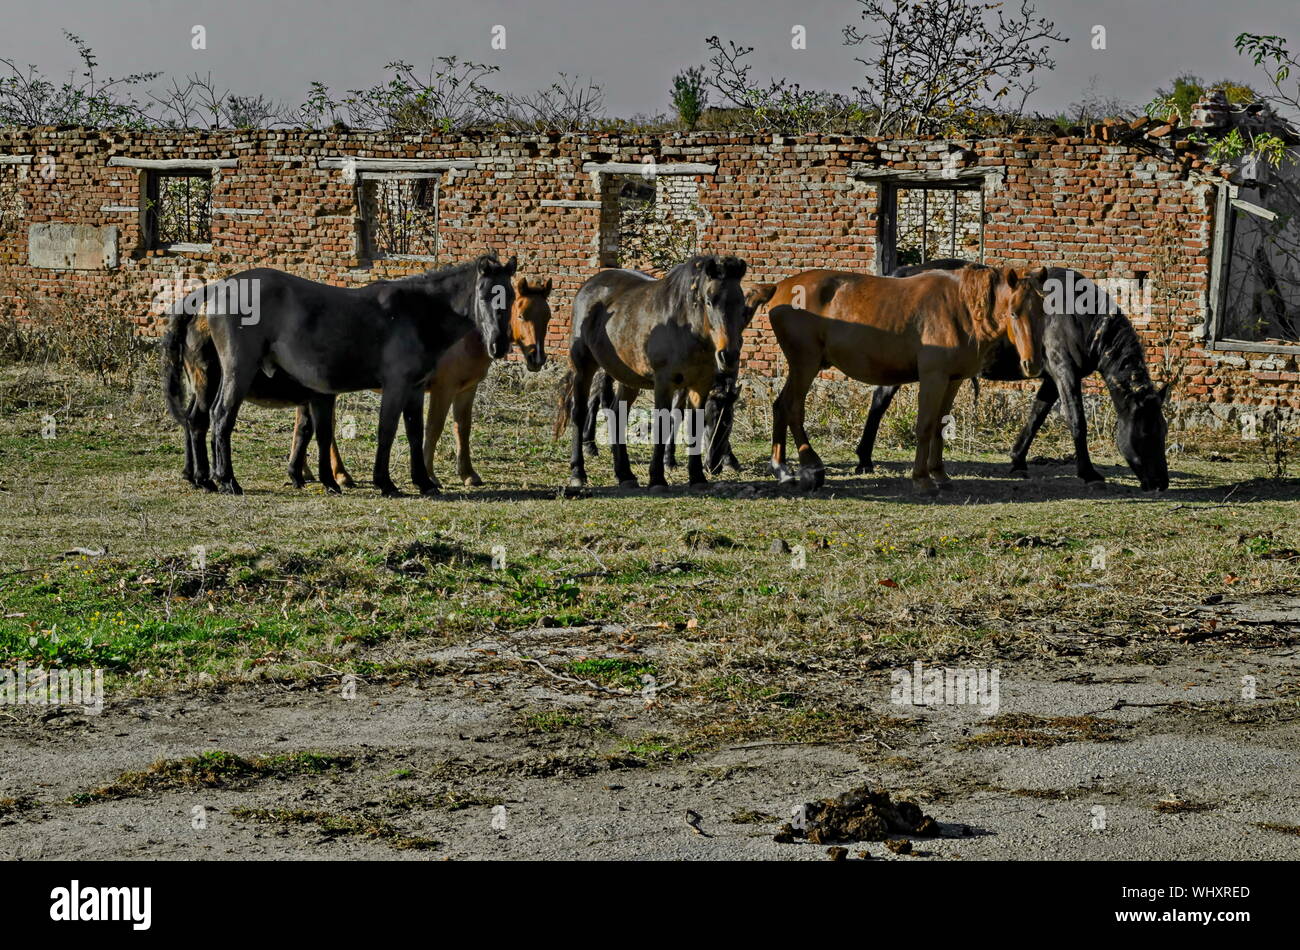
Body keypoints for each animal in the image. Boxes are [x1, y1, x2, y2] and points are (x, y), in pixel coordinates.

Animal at [165, 254, 520, 499]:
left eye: (512, 296)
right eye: (486, 295)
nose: (499, 344)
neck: (416, 312)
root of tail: (214, 290)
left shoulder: (416, 389)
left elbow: (415, 433)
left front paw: (422, 481)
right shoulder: (396, 387)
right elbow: (386, 432)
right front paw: (385, 482)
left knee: (198, 420)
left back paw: (203, 478)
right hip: (235, 374)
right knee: (220, 417)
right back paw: (226, 479)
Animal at [289, 271, 553, 486]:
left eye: (548, 317)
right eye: (521, 315)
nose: (537, 358)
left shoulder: (466, 390)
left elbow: (462, 428)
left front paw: (468, 474)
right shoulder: (443, 389)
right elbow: (433, 428)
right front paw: (429, 475)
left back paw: (307, 472)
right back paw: (340, 475)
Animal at [561, 254, 754, 491]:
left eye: (742, 306)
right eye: (709, 301)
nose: (728, 355)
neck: (686, 327)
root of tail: (587, 286)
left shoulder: (700, 385)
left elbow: (692, 425)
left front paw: (697, 477)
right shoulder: (665, 383)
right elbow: (663, 424)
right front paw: (658, 477)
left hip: (628, 378)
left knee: (617, 413)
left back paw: (625, 474)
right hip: (583, 366)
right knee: (579, 412)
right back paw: (578, 472)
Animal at [764, 262, 1050, 493]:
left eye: (1043, 312)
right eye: (1013, 312)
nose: (1032, 364)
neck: (959, 307)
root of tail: (780, 288)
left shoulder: (952, 380)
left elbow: (940, 426)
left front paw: (940, 474)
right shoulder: (934, 378)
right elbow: (925, 426)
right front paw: (922, 479)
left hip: (802, 367)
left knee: (780, 406)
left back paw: (782, 470)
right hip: (805, 364)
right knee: (793, 408)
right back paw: (811, 468)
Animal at [857, 259, 1175, 491]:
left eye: (1163, 430)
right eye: (1145, 432)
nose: (1161, 482)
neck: (1078, 315)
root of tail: (901, 273)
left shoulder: (1051, 379)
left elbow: (1036, 416)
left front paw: (1017, 459)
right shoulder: (1064, 373)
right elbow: (1077, 421)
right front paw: (1088, 472)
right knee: (879, 404)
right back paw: (864, 459)